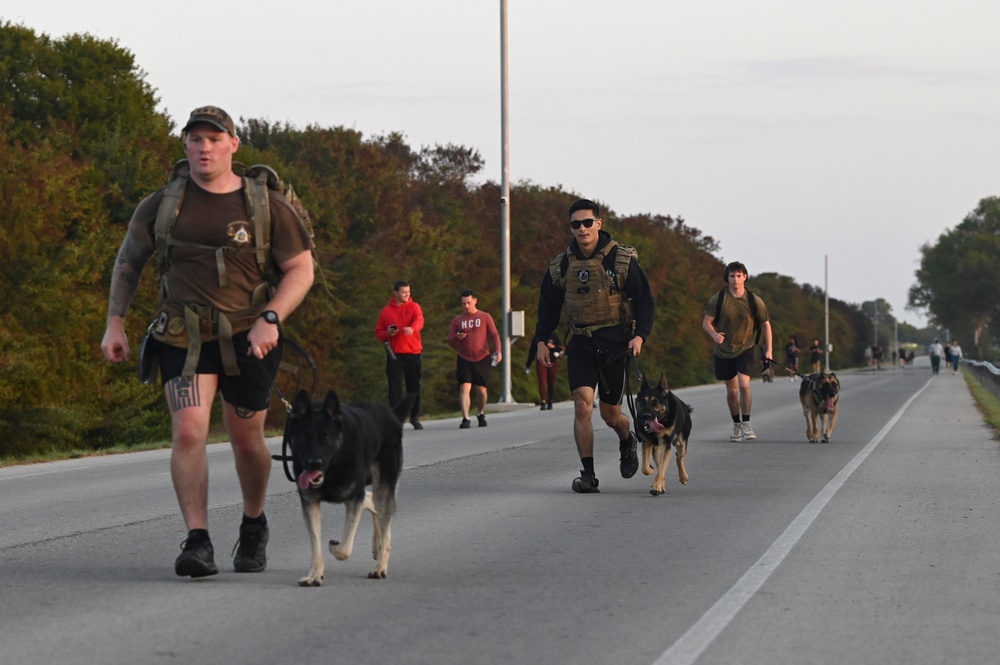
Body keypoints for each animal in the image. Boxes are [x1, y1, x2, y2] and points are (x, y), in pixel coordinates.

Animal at [282, 386, 414, 584]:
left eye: (326, 438)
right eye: (304, 438)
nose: (314, 464)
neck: (333, 466)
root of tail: (391, 415)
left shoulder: (353, 499)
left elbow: (345, 548)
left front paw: (334, 547)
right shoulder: (310, 503)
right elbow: (315, 544)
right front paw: (315, 575)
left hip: (383, 487)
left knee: (384, 517)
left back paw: (380, 567)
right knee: (372, 501)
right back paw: (378, 544)